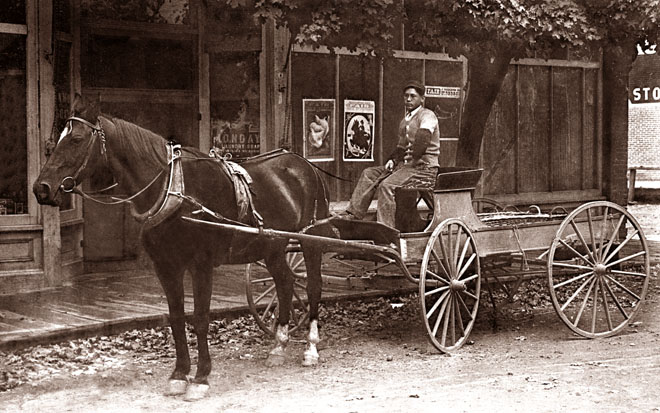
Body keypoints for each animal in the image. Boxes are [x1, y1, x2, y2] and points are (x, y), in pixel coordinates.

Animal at [33, 96, 332, 400]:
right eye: (58, 138)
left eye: (76, 139)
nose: (41, 188)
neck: (174, 190)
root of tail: (303, 163)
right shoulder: (166, 266)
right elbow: (176, 318)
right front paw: (179, 374)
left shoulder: (201, 265)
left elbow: (200, 318)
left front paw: (201, 378)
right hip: (272, 246)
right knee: (285, 283)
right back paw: (279, 346)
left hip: (310, 240)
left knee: (312, 286)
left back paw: (310, 347)